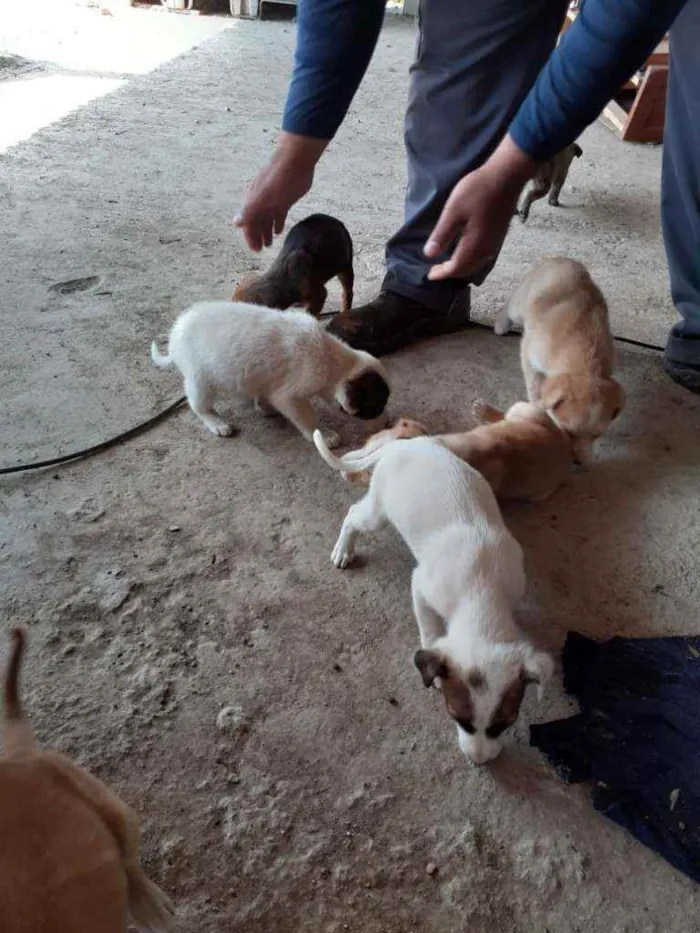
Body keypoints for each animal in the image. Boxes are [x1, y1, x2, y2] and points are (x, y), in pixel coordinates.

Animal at [150, 298, 388, 444]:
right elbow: (307, 418)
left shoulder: (269, 380)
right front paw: (324, 434)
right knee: (199, 405)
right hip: (200, 379)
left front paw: (264, 406)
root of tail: (175, 333)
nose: (386, 424)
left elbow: (264, 393)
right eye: (374, 409)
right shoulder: (291, 396)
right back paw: (216, 423)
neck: (331, 359)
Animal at [316, 430, 552, 764]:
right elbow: (429, 630)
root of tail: (399, 444)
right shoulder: (422, 587)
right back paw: (343, 549)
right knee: (353, 515)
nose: (480, 762)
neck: (482, 589)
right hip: (378, 511)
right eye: (459, 720)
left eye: (503, 725)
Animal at [494, 256, 628, 460]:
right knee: (508, 307)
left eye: (597, 435)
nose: (579, 462)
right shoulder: (529, 355)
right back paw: (501, 324)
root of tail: (560, 258)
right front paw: (535, 409)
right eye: (568, 432)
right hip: (519, 305)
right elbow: (534, 388)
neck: (585, 361)